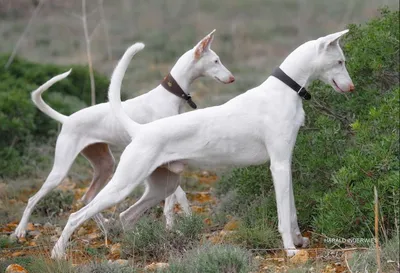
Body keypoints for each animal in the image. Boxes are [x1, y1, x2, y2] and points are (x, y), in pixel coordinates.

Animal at [13, 30, 234, 238]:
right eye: (216, 60)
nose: (232, 78)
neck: (169, 96)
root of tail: (67, 119)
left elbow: (177, 197)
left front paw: (183, 221)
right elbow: (173, 198)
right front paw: (173, 226)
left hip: (105, 164)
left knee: (87, 198)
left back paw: (104, 228)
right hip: (60, 171)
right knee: (34, 198)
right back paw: (21, 230)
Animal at [51, 29, 354, 258]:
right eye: (339, 62)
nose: (351, 88)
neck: (284, 90)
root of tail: (140, 130)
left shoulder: (285, 163)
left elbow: (291, 210)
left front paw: (300, 241)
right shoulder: (278, 165)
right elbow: (283, 215)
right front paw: (290, 249)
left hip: (162, 186)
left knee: (126, 216)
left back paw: (136, 247)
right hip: (123, 184)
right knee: (78, 215)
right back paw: (58, 253)